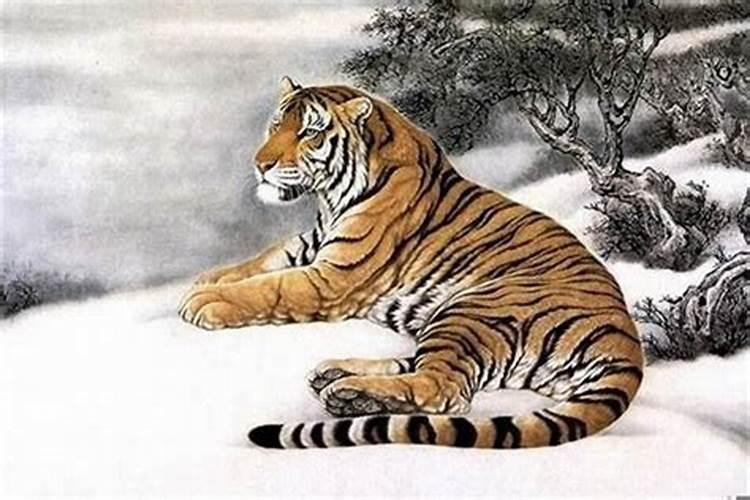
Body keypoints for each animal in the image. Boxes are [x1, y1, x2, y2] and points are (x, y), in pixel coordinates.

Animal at [178, 76, 643, 449]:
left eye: (309, 132)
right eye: (277, 125)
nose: (261, 165)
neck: (330, 197)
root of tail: (625, 339)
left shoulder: (331, 278)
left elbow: (268, 288)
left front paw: (204, 302)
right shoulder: (313, 244)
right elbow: (262, 260)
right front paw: (206, 280)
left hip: (472, 310)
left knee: (442, 389)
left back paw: (349, 393)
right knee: (422, 369)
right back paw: (335, 377)